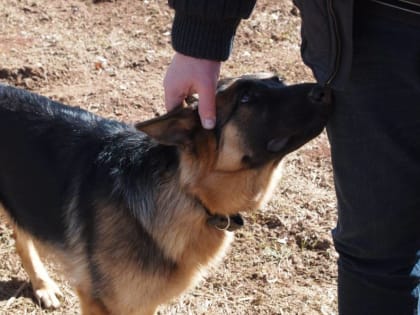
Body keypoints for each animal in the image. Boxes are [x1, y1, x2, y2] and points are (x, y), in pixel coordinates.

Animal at [0, 74, 330, 315]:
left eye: (280, 80)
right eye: (247, 98)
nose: (324, 90)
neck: (187, 193)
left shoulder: (142, 303)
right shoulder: (100, 302)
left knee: (21, 235)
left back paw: (42, 284)